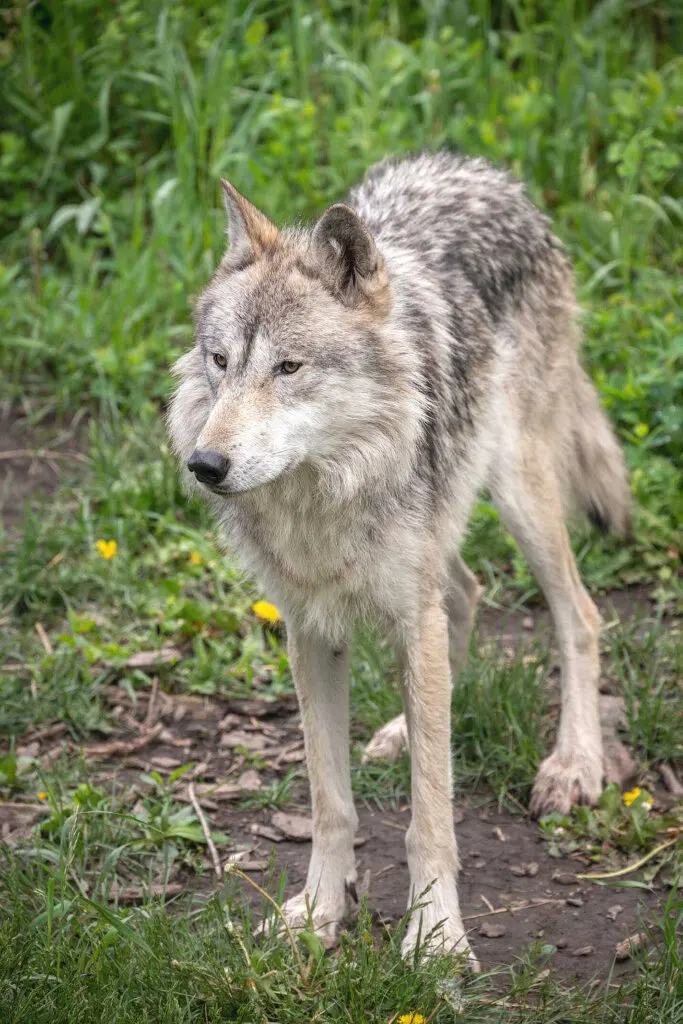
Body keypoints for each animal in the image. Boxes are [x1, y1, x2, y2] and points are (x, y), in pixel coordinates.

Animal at [165, 149, 630, 958]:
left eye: (288, 368)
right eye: (219, 361)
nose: (205, 464)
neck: (323, 497)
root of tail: (479, 169)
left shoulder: (410, 615)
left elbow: (430, 818)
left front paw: (436, 940)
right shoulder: (309, 630)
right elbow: (330, 804)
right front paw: (318, 914)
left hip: (520, 493)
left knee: (578, 614)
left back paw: (574, 765)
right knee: (466, 594)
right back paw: (400, 730)